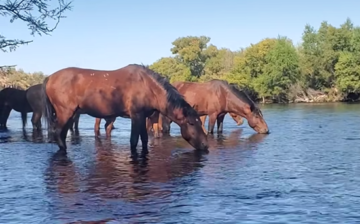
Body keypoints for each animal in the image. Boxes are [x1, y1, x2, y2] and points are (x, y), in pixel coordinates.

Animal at [41, 63, 208, 154]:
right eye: (191, 123)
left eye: (201, 122)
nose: (205, 145)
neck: (148, 87)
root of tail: (49, 78)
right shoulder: (136, 115)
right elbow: (134, 140)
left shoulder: (143, 116)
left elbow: (144, 139)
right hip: (65, 112)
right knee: (58, 133)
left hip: (71, 114)